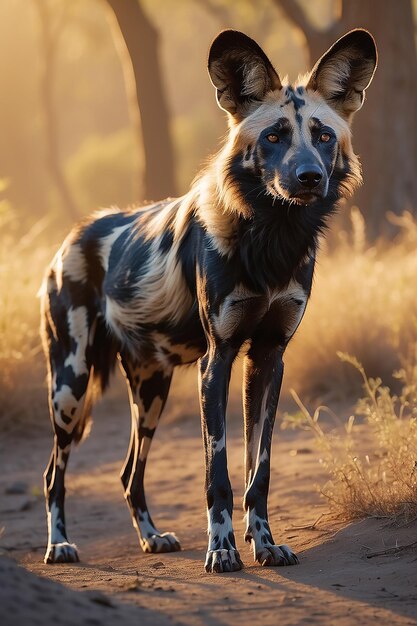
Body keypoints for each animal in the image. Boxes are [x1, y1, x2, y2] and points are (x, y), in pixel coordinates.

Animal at [40, 28, 376, 572]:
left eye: (323, 135)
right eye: (274, 137)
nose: (309, 177)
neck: (273, 237)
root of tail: (75, 233)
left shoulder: (268, 359)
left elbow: (258, 471)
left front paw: (265, 542)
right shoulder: (216, 361)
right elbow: (217, 472)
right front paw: (222, 549)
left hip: (150, 392)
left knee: (129, 474)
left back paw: (152, 537)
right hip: (70, 387)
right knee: (53, 472)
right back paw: (59, 544)